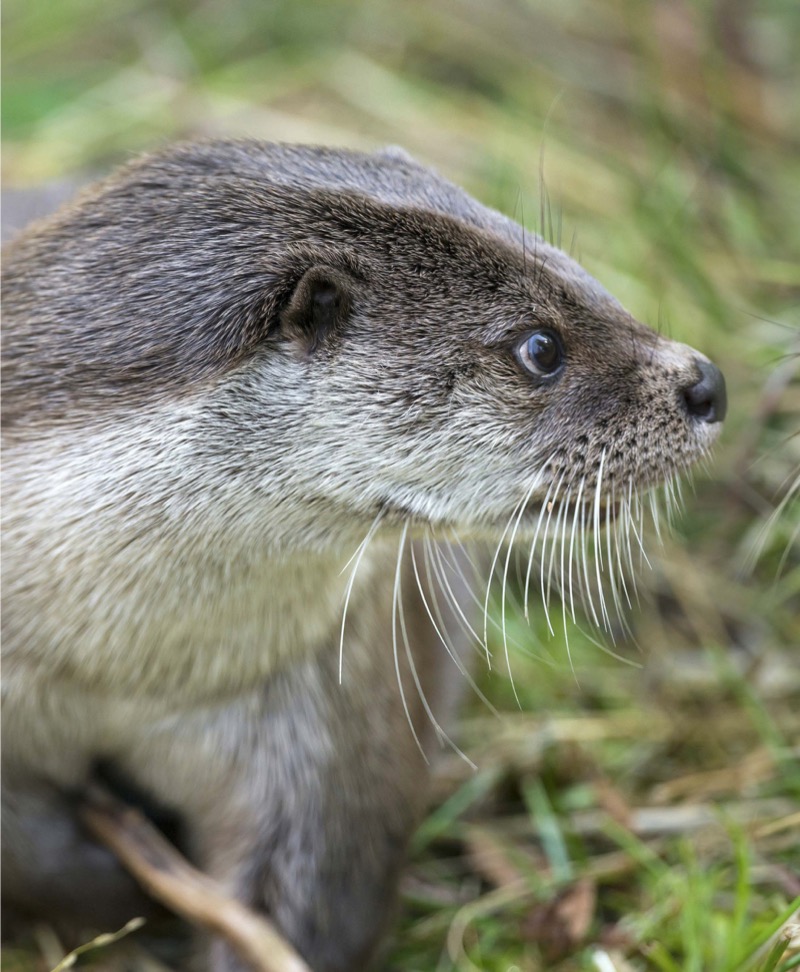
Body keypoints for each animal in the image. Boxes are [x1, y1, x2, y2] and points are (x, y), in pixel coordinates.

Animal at [1, 140, 726, 971]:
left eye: (572, 265)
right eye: (540, 347)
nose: (708, 382)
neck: (120, 665)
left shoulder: (334, 713)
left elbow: (317, 898)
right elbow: (30, 858)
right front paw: (128, 899)